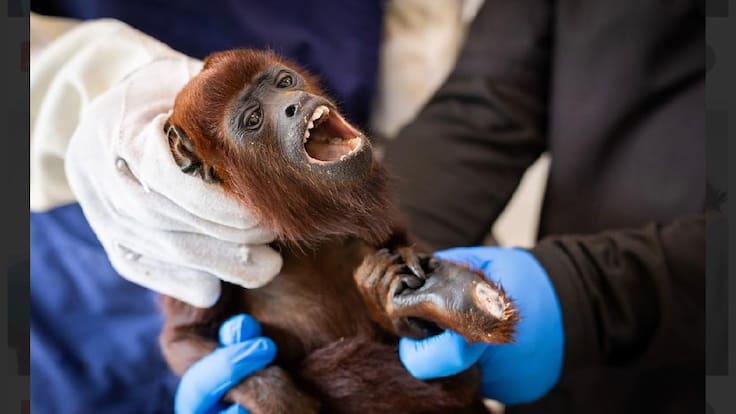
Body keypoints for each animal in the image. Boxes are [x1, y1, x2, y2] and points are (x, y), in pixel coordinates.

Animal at [159, 49, 519, 414]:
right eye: (253, 119)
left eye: (284, 82)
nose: (294, 103)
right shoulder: (206, 252)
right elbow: (184, 337)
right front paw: (278, 397)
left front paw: (406, 296)